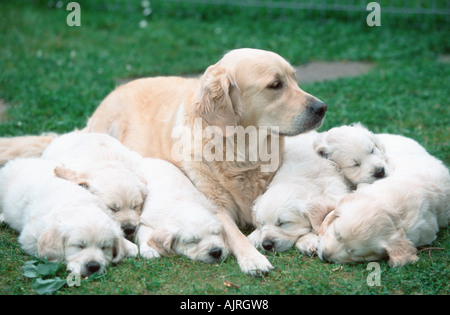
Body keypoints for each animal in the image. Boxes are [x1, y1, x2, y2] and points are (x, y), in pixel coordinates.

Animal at [0, 158, 138, 276]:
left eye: (104, 247)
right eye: (80, 246)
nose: (93, 266)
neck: (78, 205)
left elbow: (133, 248)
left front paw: (127, 247)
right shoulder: (30, 237)